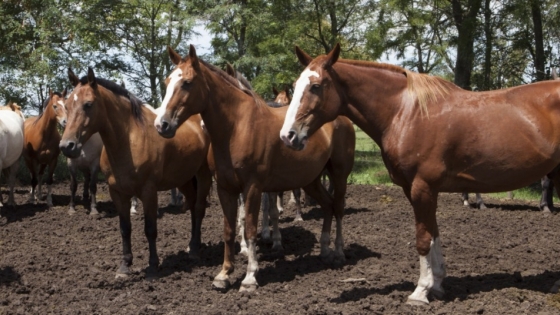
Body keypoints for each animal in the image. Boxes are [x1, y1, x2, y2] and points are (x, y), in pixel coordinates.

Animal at [59, 68, 212, 278]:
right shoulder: (118, 193)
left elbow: (150, 229)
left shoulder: (149, 192)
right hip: (184, 179)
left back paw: (195, 250)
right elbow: (125, 228)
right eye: (66, 105)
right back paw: (190, 246)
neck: (130, 140)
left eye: (88, 104)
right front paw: (124, 265)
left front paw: (153, 266)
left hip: (202, 175)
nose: (67, 146)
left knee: (198, 208)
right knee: (192, 204)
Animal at [153, 45, 354, 292]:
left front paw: (250, 277)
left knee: (338, 207)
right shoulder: (225, 188)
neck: (236, 127)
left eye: (187, 83)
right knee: (327, 206)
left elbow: (250, 228)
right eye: (167, 81)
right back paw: (325, 251)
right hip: (311, 180)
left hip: (339, 174)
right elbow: (229, 230)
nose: (162, 124)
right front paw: (224, 274)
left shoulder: (252, 188)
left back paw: (338, 253)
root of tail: (340, 117)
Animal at [280, 43, 560, 304]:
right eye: (295, 85)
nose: (287, 136)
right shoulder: (419, 189)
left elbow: (423, 239)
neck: (407, 113)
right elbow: (434, 235)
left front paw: (420, 291)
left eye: (316, 86)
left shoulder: (422, 187)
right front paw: (437, 285)